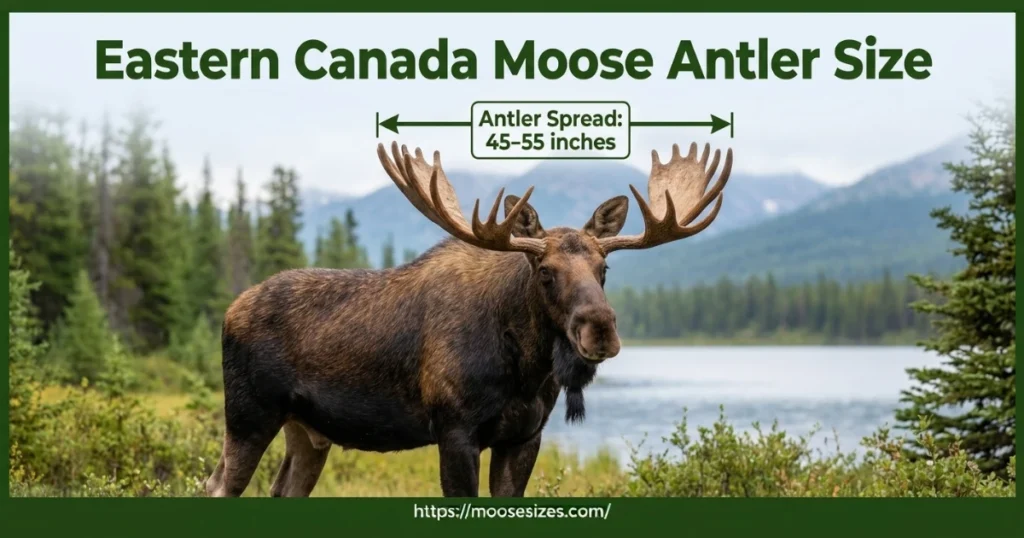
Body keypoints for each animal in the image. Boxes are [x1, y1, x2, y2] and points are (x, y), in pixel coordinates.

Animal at [205, 141, 733, 497]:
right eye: (545, 271)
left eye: (604, 269)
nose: (599, 329)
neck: (524, 370)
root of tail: (229, 310)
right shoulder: (455, 432)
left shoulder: (524, 437)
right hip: (249, 414)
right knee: (217, 484)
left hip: (308, 432)